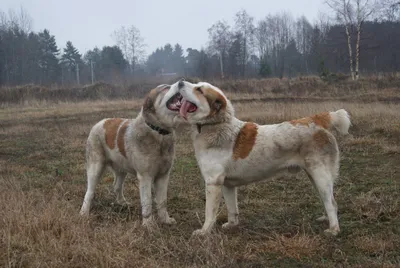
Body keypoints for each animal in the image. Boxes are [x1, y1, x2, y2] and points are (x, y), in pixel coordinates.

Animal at [80, 83, 188, 226]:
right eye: (165, 88)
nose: (181, 82)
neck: (158, 132)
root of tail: (101, 122)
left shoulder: (163, 176)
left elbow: (162, 201)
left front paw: (165, 219)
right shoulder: (145, 177)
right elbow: (147, 201)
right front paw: (148, 224)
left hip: (121, 169)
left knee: (117, 186)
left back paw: (122, 203)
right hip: (95, 168)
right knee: (90, 191)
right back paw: (84, 212)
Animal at [175, 80, 350, 236]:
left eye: (199, 90)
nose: (180, 82)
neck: (216, 126)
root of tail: (316, 119)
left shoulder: (213, 182)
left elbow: (209, 213)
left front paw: (204, 232)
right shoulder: (227, 185)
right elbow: (232, 209)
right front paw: (232, 225)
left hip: (320, 175)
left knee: (332, 203)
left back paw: (334, 230)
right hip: (315, 176)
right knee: (326, 199)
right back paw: (325, 219)